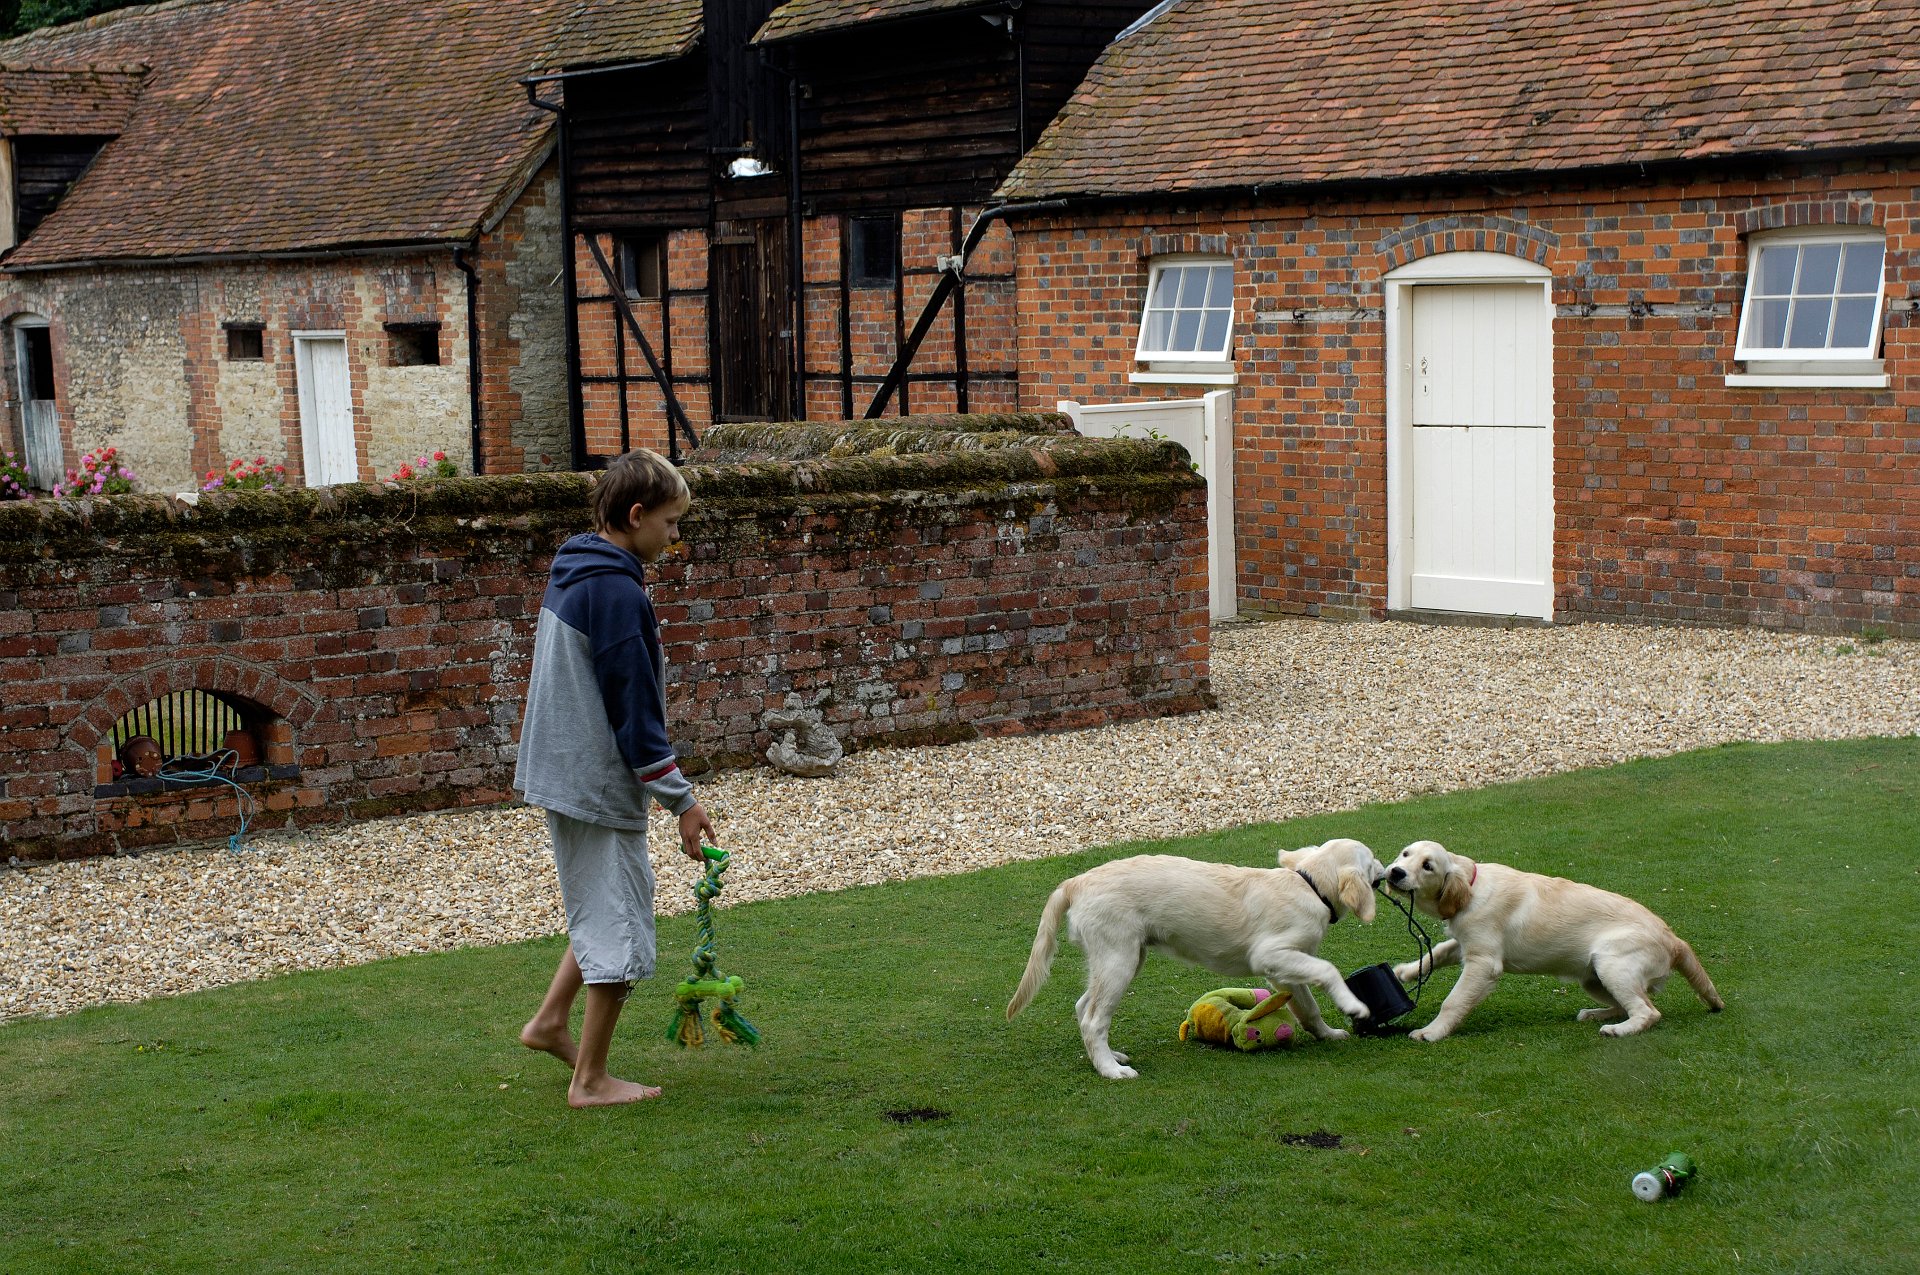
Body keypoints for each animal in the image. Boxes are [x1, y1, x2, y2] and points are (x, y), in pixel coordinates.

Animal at [1005, 838, 1385, 1078]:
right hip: (1119, 960)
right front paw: (1354, 1006)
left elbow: (1308, 1008)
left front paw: (1328, 1034)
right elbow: (1328, 970)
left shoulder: (1283, 971)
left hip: (1123, 958)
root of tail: (1076, 882)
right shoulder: (1270, 955)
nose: (1390, 869)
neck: (1310, 885)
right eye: (1372, 860)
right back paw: (1112, 1071)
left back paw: (1109, 1057)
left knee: (1084, 1007)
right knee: (1093, 1019)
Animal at [1384, 840, 1724, 1041]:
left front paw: (1431, 1032)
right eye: (1405, 854)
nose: (1395, 872)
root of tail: (1674, 938)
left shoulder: (1484, 962)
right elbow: (1440, 951)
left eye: (1428, 866)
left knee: (1647, 1011)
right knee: (1628, 1004)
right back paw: (1595, 1014)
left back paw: (1618, 1029)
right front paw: (1407, 971)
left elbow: (1453, 1001)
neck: (1471, 885)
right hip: (1593, 976)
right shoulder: (1467, 943)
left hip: (1611, 964)